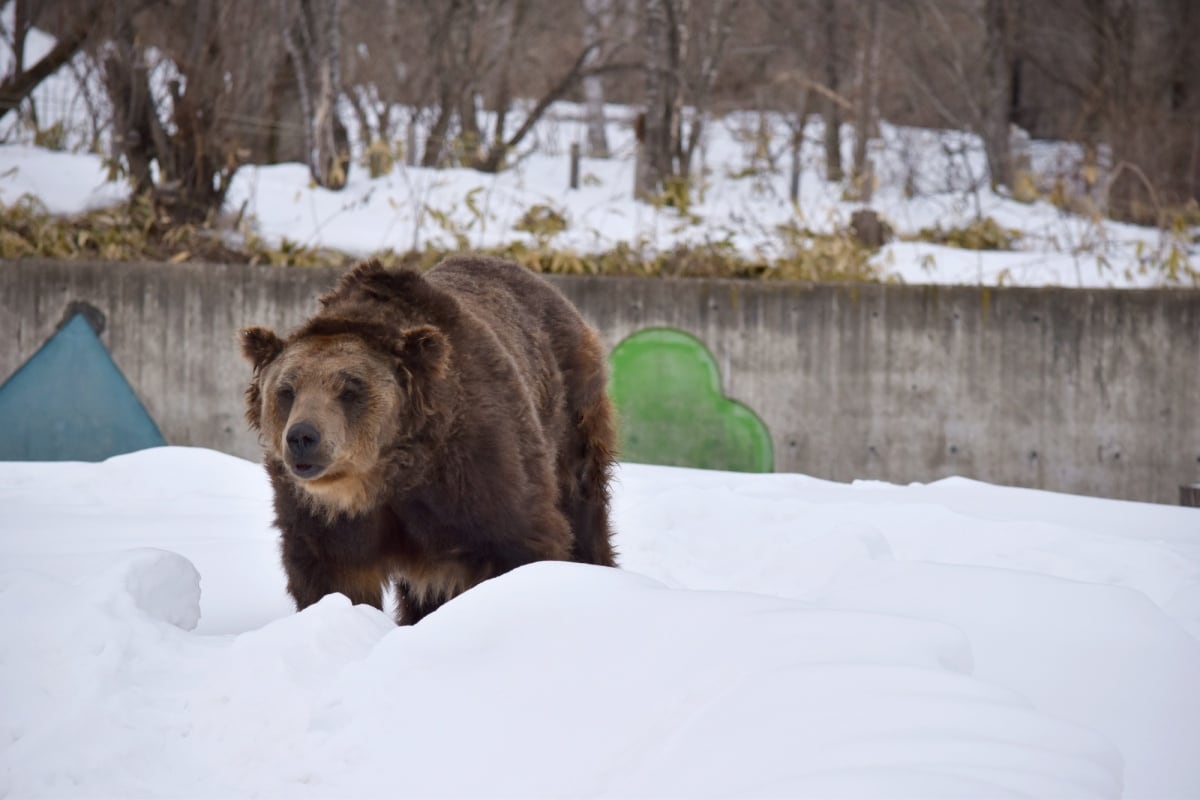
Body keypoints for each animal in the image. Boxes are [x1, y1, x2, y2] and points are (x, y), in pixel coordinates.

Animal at [242, 256, 619, 623]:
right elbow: (331, 574)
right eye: (286, 391)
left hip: (570, 416)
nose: (302, 436)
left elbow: (520, 540)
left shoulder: (475, 469)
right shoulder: (320, 515)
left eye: (350, 390)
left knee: (582, 507)